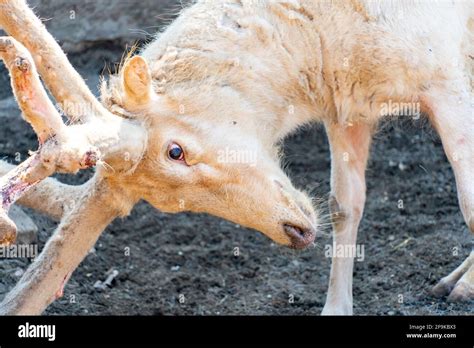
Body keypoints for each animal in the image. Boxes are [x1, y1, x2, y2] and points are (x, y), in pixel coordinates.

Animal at [0, 0, 472, 316]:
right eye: (160, 203)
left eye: (176, 151)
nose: (297, 232)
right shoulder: (349, 107)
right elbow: (344, 205)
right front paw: (335, 308)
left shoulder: (446, 77)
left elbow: (468, 205)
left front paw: (466, 289)